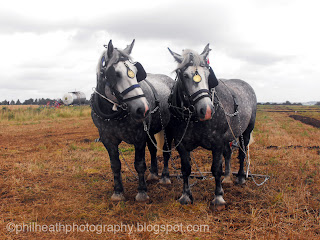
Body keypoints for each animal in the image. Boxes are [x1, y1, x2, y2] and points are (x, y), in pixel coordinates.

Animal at [90, 40, 175, 202]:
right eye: (115, 74)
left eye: (136, 72)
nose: (143, 109)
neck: (115, 114)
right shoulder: (108, 139)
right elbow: (115, 165)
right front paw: (118, 192)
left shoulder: (139, 137)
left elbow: (139, 164)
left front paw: (142, 192)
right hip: (151, 130)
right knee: (153, 150)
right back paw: (153, 174)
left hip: (168, 127)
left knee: (166, 151)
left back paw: (165, 177)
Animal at [162, 45, 258, 208]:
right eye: (184, 75)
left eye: (208, 74)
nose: (206, 110)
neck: (194, 118)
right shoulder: (181, 144)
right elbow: (186, 169)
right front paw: (186, 195)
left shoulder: (217, 142)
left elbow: (216, 169)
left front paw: (218, 197)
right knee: (228, 153)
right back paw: (228, 177)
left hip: (245, 131)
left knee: (242, 152)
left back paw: (240, 177)